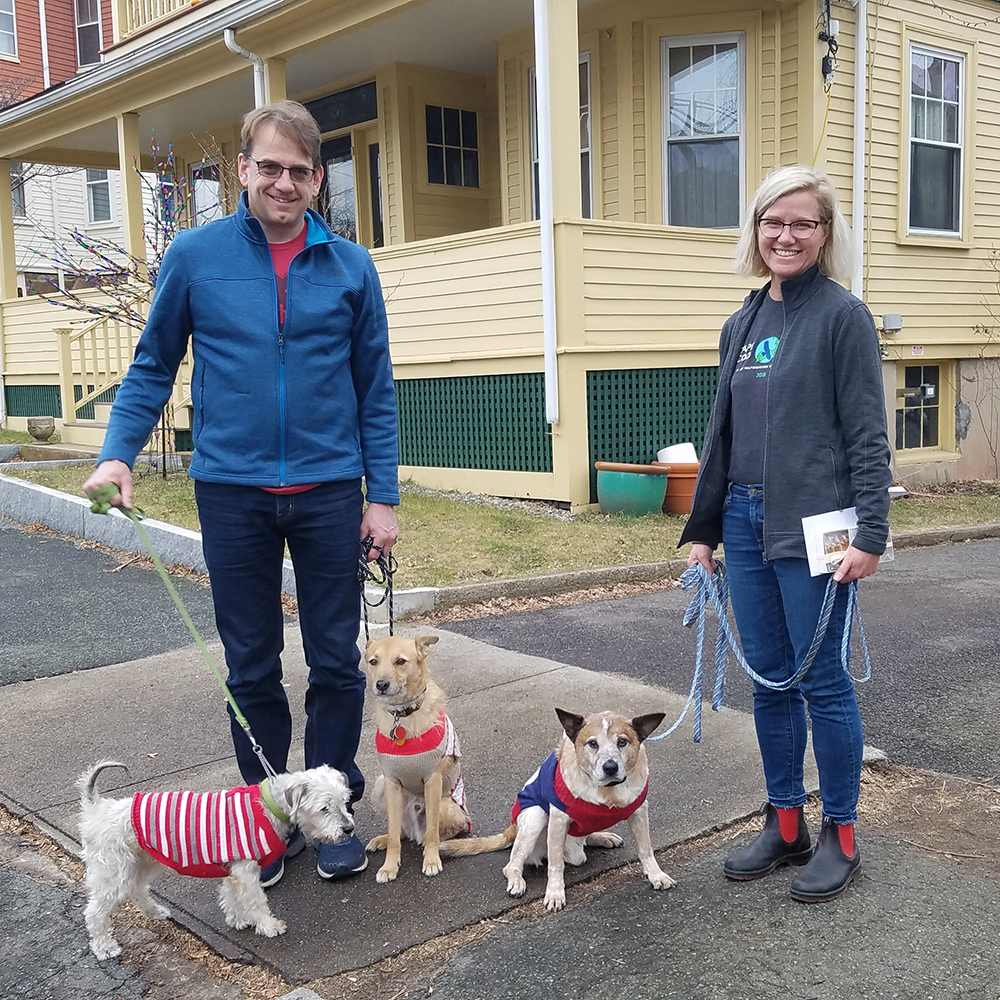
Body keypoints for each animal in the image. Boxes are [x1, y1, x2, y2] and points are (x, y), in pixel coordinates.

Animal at [78, 756, 354, 960]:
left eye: (345, 801)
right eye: (324, 808)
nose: (349, 829)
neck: (268, 805)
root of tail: (96, 807)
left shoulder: (235, 870)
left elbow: (231, 896)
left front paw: (238, 920)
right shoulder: (246, 870)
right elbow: (256, 901)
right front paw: (268, 926)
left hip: (143, 862)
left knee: (137, 889)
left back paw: (154, 911)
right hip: (113, 872)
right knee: (95, 912)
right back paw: (104, 947)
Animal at [364, 636, 472, 880]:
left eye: (400, 661)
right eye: (373, 661)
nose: (381, 684)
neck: (403, 715)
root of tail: (415, 830)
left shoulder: (432, 780)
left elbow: (432, 832)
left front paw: (431, 860)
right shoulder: (391, 781)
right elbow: (394, 834)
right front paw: (389, 866)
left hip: (446, 805)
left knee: (436, 833)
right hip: (380, 787)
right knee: (400, 832)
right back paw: (384, 840)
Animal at [442, 708, 676, 912]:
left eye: (622, 742)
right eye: (592, 743)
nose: (610, 767)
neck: (607, 790)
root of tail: (512, 829)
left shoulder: (639, 811)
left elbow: (646, 850)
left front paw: (656, 875)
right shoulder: (558, 819)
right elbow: (555, 865)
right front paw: (555, 893)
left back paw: (602, 836)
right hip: (535, 816)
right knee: (512, 864)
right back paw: (517, 880)